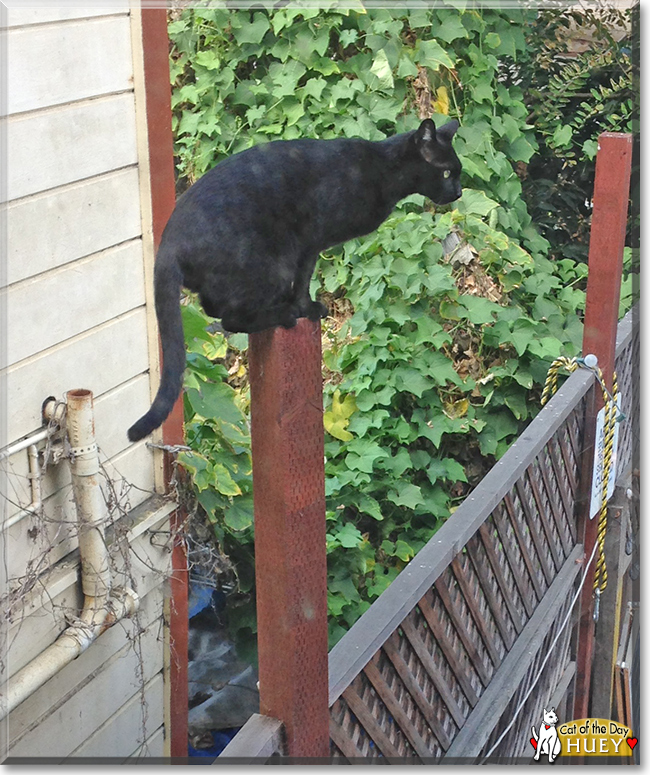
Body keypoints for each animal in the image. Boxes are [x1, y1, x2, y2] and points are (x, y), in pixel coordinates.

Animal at [128, 116, 460, 442]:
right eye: (445, 173)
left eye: (457, 172)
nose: (458, 192)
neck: (382, 170)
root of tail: (167, 246)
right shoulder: (309, 243)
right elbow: (303, 281)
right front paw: (306, 308)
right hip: (273, 265)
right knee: (231, 319)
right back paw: (283, 314)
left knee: (215, 307)